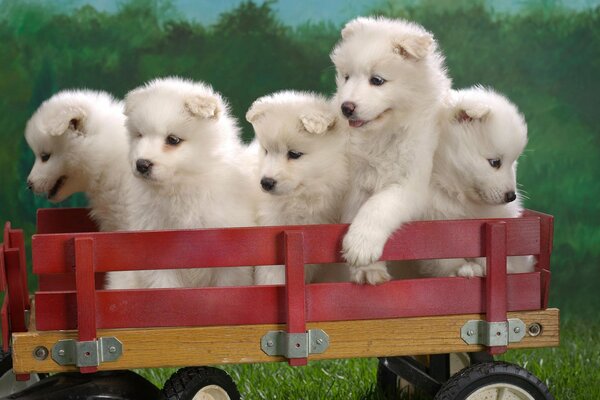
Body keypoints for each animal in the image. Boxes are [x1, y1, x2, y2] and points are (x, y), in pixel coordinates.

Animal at [112, 78, 255, 290]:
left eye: (173, 140)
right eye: (140, 135)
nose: (141, 164)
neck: (181, 186)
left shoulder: (228, 258)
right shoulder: (156, 252)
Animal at [330, 16, 452, 284]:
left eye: (377, 80)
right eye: (347, 77)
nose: (346, 107)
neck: (382, 135)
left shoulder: (409, 181)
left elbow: (378, 205)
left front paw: (361, 246)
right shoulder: (356, 182)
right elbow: (357, 210)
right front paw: (367, 269)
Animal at [418, 86, 536, 276]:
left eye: (513, 162)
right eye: (495, 162)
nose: (511, 196)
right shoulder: (429, 222)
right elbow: (441, 252)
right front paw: (462, 268)